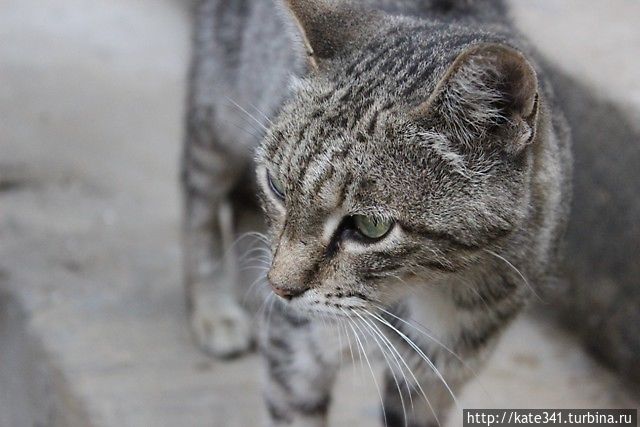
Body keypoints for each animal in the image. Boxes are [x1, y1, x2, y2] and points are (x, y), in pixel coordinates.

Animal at [181, 0, 636, 426]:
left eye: (371, 226)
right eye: (277, 187)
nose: (280, 288)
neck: (429, 293)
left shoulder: (437, 379)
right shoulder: (296, 356)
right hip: (216, 122)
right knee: (198, 205)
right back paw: (218, 310)